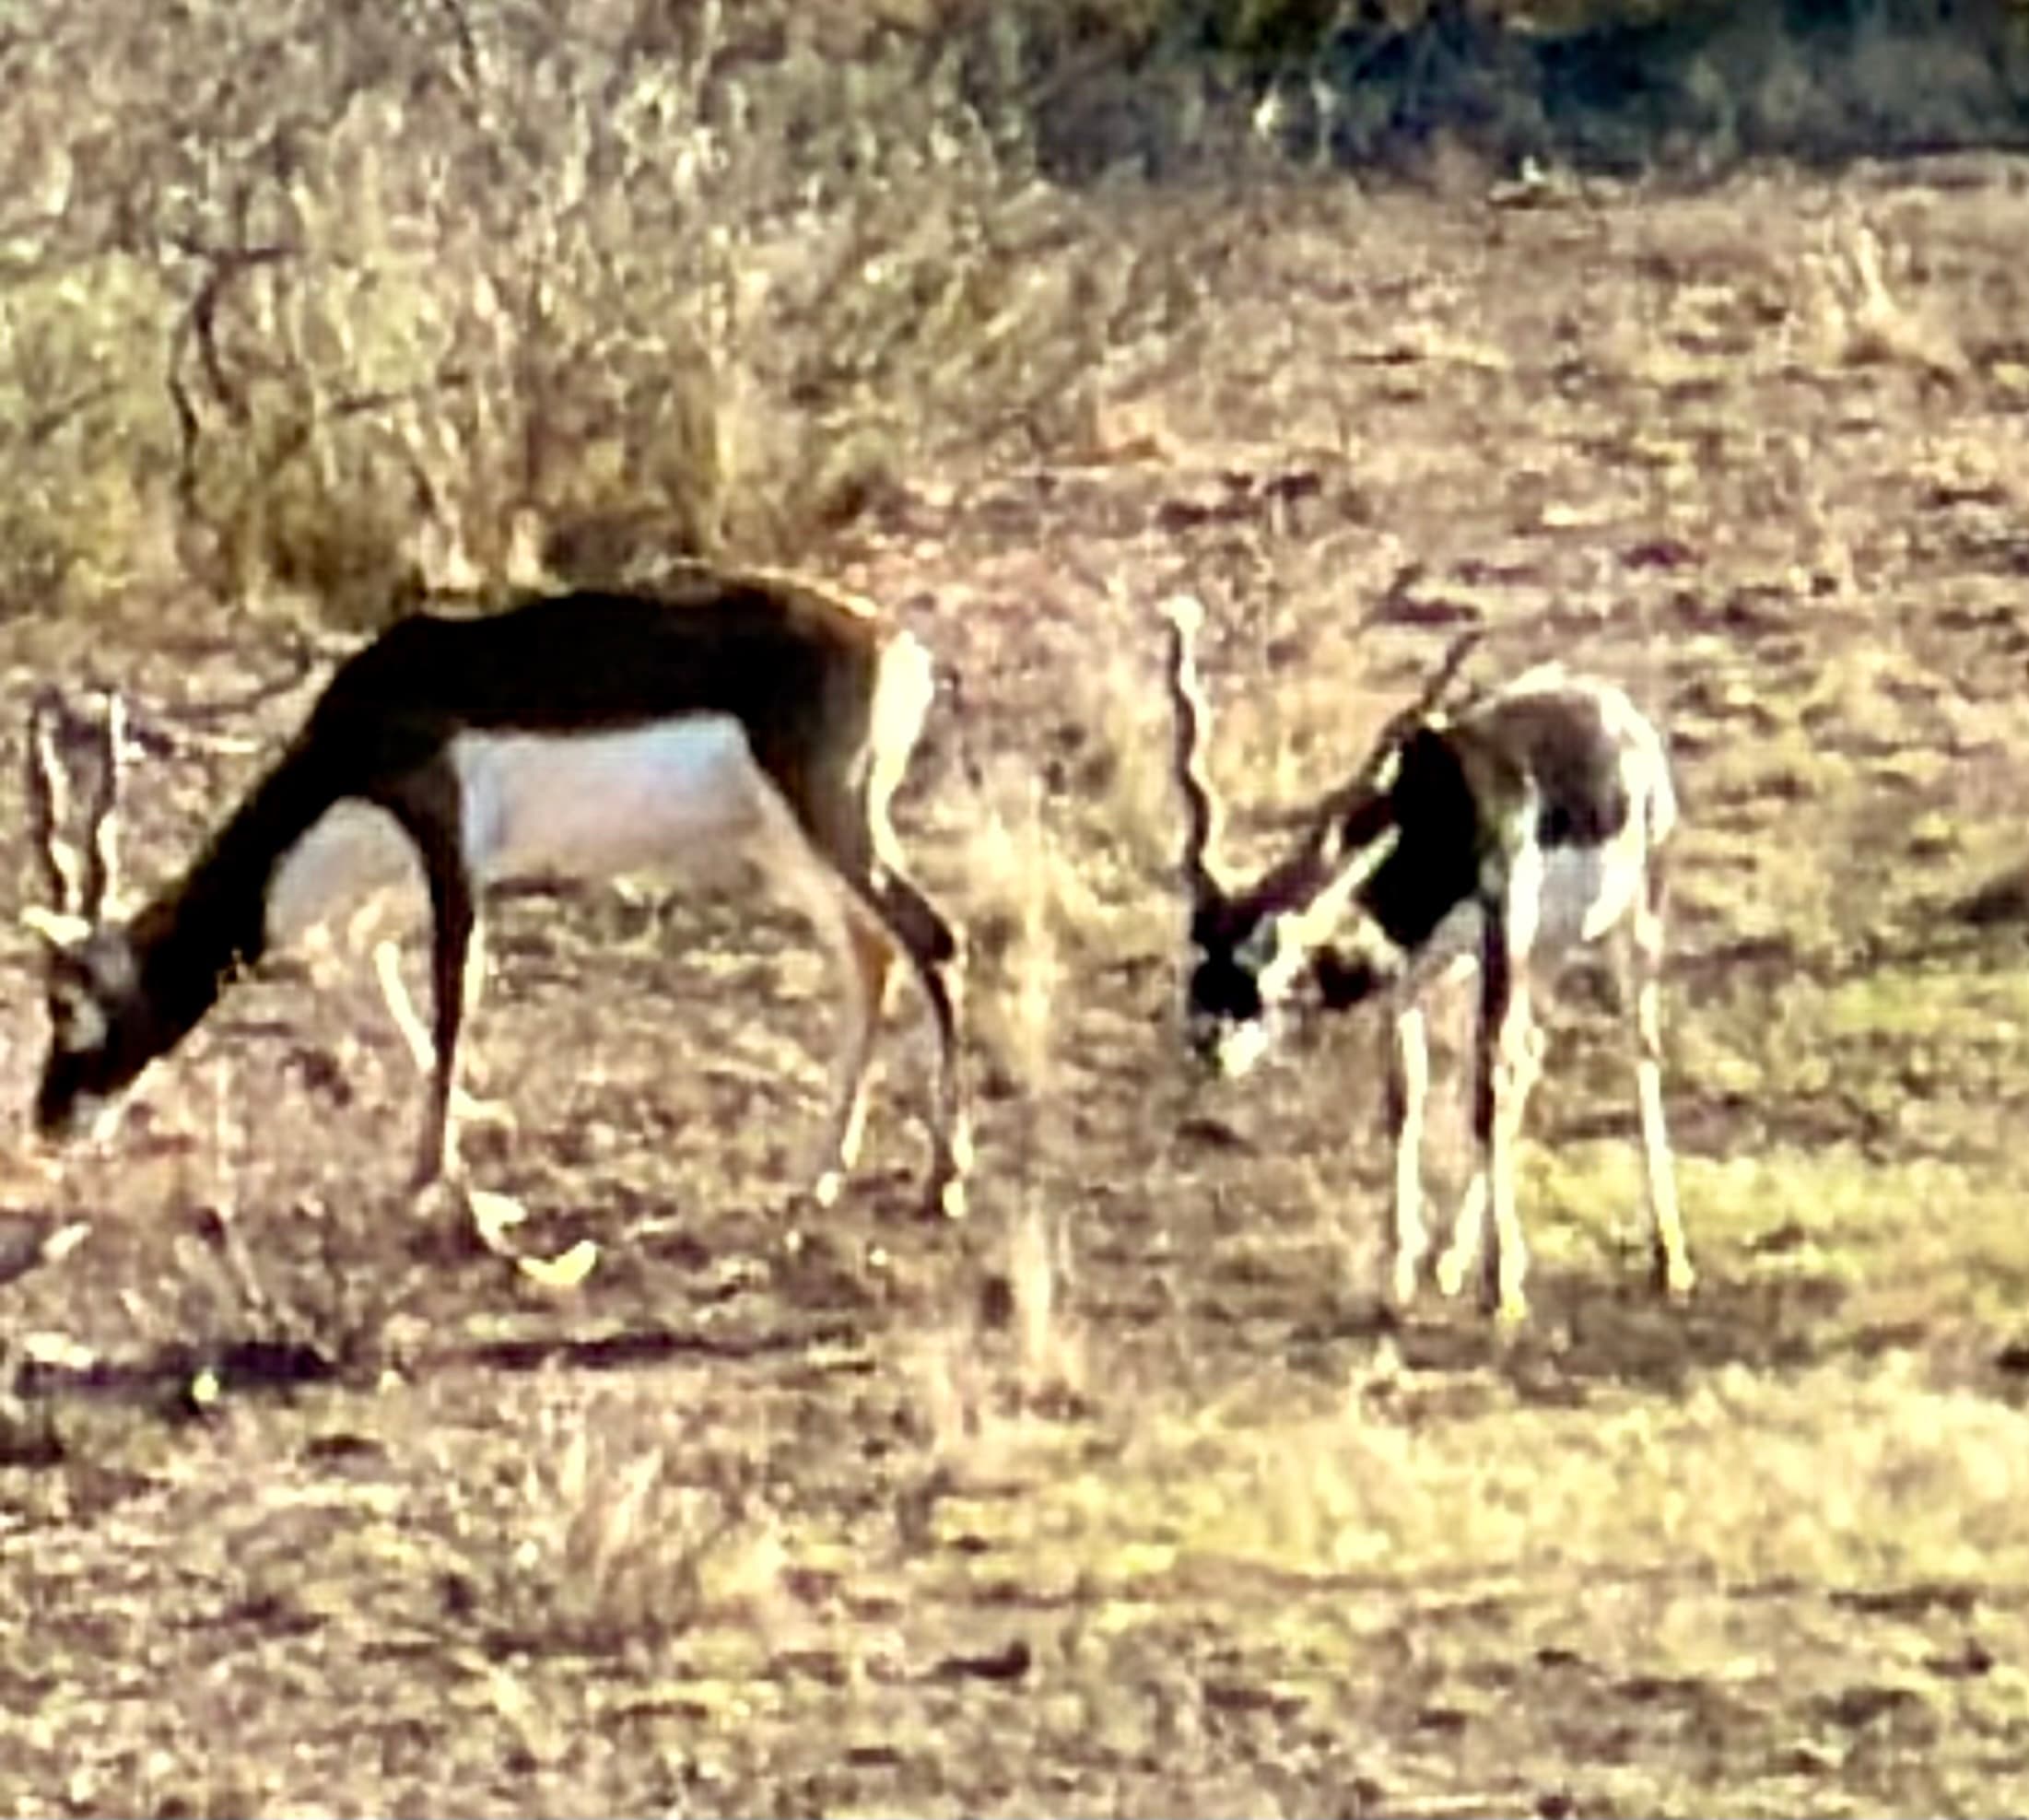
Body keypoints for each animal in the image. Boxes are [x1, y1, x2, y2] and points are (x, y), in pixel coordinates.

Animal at [22, 566, 972, 1225]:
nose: (47, 1121)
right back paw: (821, 1170)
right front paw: (474, 1119)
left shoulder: (447, 846)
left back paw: (942, 1179)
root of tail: (892, 644)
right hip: (789, 848)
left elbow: (453, 996)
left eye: (71, 1009)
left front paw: (427, 1175)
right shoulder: (403, 879)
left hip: (831, 826)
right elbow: (360, 961)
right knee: (872, 956)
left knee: (934, 938)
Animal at [1158, 593, 1691, 1325]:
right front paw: (1402, 1274)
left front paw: (1504, 1286)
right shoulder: (1413, 972)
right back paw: (1450, 1262)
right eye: (1200, 946)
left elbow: (1485, 1093)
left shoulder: (1502, 928)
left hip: (1633, 919)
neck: (1436, 808)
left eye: (1275, 953)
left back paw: (1671, 1259)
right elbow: (1404, 1099)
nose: (1209, 1040)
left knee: (1639, 1056)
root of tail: (1616, 711)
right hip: (1545, 951)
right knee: (1531, 1052)